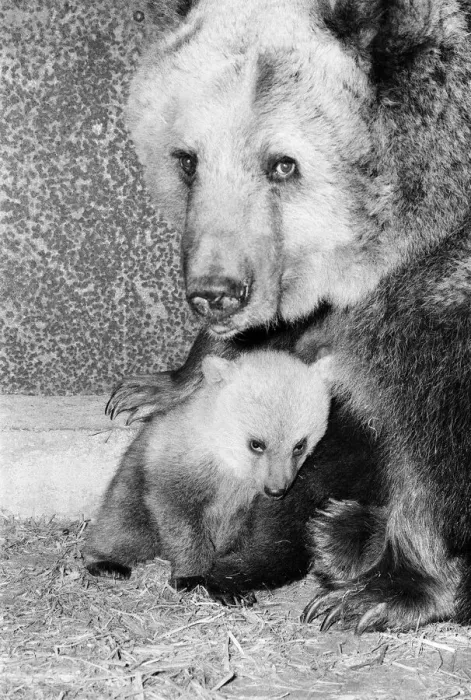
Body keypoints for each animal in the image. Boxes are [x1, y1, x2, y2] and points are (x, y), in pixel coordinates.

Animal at [85, 350, 336, 603]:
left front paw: (232, 584)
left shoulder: (250, 504)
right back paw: (107, 563)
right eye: (256, 444)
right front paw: (191, 576)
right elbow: (180, 518)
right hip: (132, 485)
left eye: (299, 445)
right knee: (124, 525)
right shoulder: (180, 467)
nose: (276, 490)